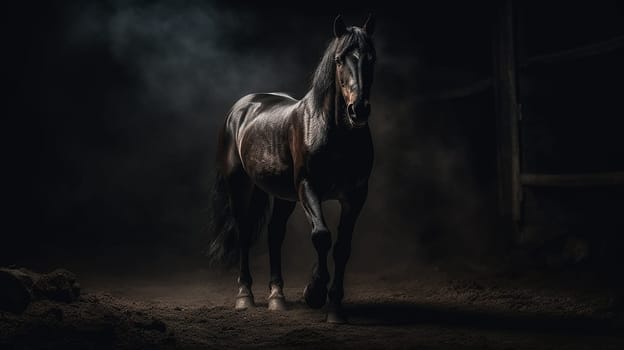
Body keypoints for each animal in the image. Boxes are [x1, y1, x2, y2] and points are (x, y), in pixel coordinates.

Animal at [208, 15, 376, 322]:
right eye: (339, 59)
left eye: (371, 58)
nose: (358, 110)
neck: (335, 133)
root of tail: (242, 107)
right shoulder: (308, 187)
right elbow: (321, 236)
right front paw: (314, 293)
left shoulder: (355, 195)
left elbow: (342, 247)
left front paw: (335, 308)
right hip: (239, 185)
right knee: (244, 231)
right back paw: (245, 296)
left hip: (280, 193)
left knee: (275, 234)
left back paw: (277, 297)